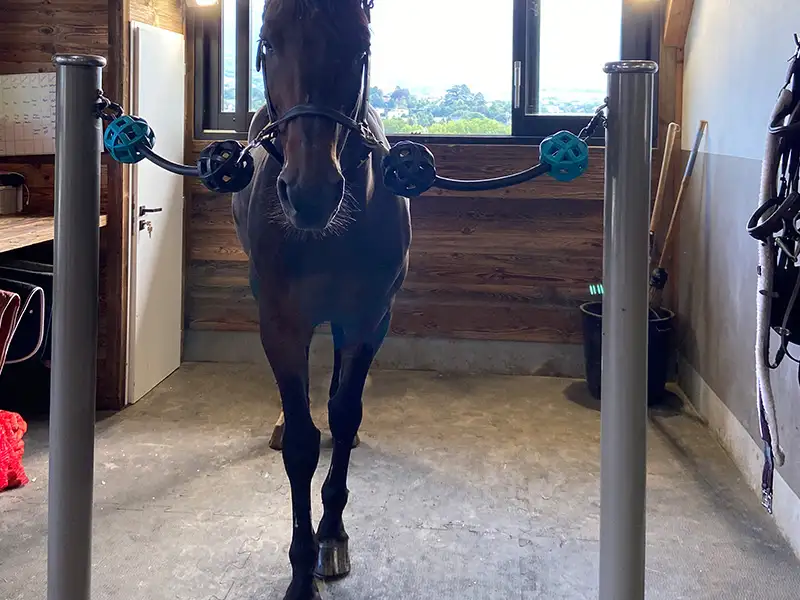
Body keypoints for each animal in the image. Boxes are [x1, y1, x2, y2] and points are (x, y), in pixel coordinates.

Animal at [231, 0, 411, 598]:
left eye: (361, 47)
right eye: (266, 43)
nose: (310, 193)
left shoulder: (369, 318)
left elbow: (346, 412)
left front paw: (332, 536)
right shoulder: (282, 323)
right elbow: (302, 446)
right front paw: (300, 567)